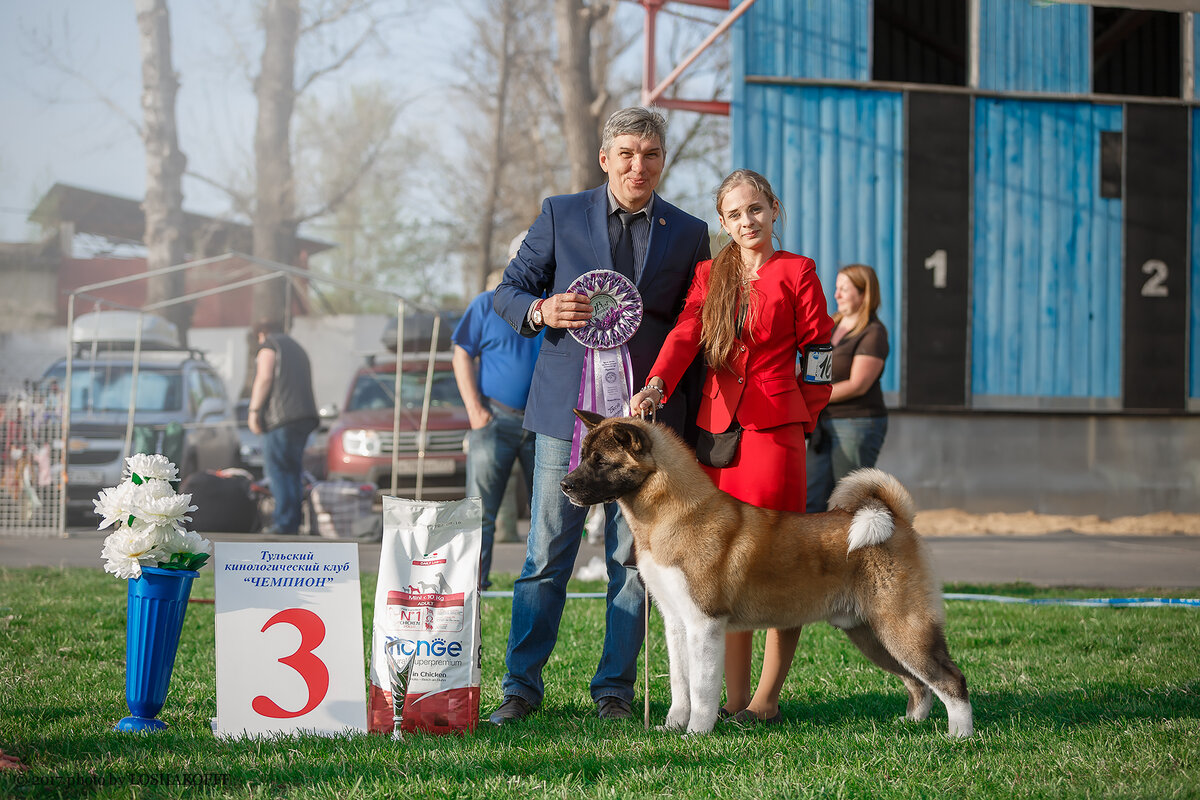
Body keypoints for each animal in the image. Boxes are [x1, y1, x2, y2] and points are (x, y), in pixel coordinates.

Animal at [561, 412, 974, 738]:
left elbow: (702, 687)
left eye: (601, 460)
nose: (565, 485)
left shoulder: (704, 625)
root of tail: (897, 519)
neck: (676, 516)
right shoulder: (676, 624)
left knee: (950, 679)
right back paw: (912, 723)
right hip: (872, 635)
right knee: (919, 684)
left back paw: (959, 737)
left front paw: (696, 733)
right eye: (583, 456)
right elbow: (681, 685)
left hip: (902, 628)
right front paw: (672, 726)